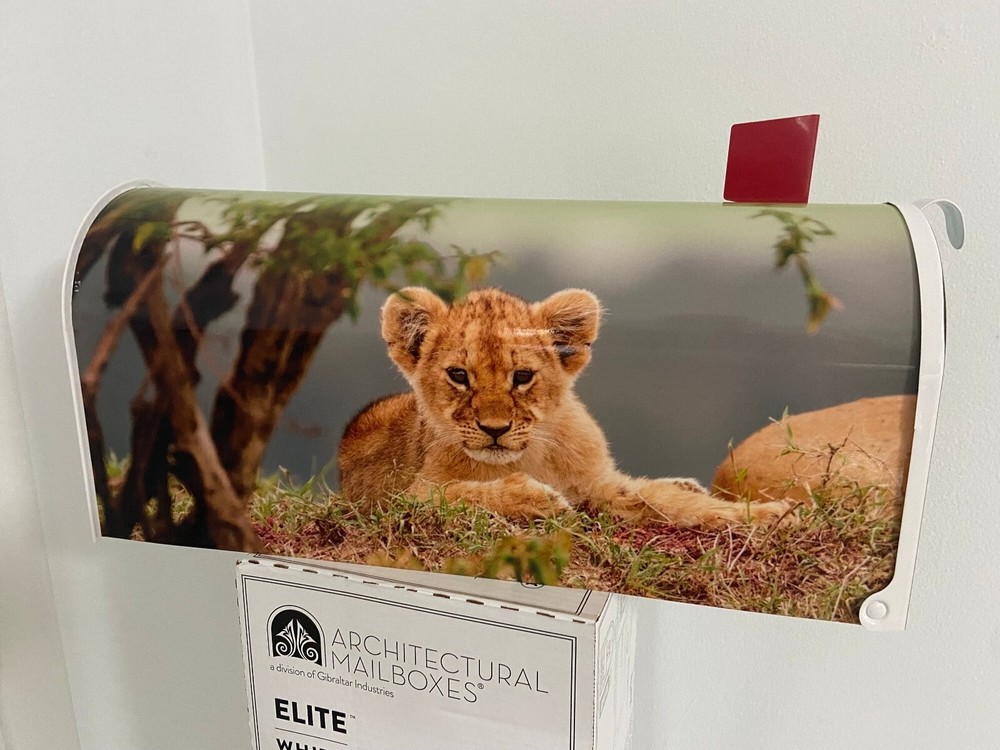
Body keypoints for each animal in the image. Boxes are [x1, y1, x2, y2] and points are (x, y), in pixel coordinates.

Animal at [338, 286, 791, 527]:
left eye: (522, 376)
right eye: (459, 375)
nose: (495, 429)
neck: (527, 456)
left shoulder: (596, 484)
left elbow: (663, 502)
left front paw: (771, 514)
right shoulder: (406, 496)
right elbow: (465, 494)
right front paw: (536, 498)